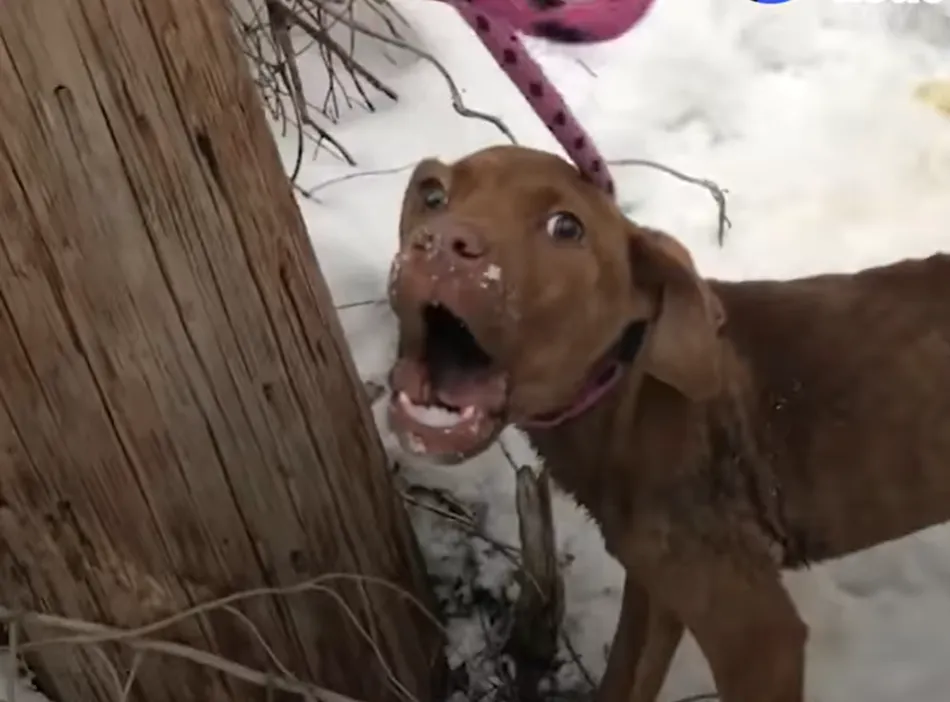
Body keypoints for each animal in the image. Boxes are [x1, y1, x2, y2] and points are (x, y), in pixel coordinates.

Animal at [384, 146, 950, 702]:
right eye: (433, 197)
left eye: (566, 227)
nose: (439, 244)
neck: (623, 396)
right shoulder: (654, 587)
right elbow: (624, 678)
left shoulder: (759, 637)